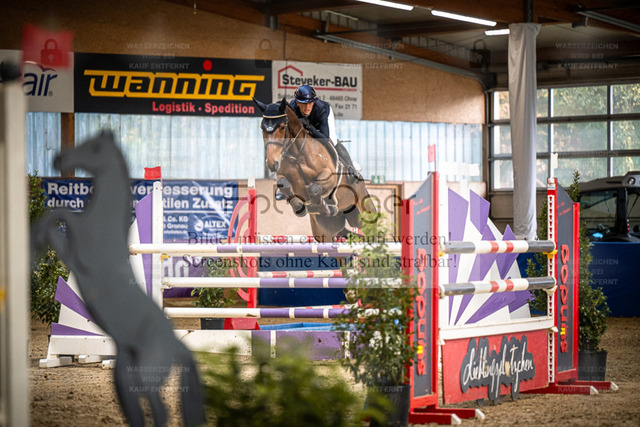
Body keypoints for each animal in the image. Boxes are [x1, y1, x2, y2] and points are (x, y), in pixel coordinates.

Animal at [31, 131, 205, 427]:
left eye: (93, 148)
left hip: (148, 368)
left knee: (159, 406)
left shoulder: (79, 253)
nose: (59, 160)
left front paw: (38, 239)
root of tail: (176, 343)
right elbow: (61, 214)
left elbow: (62, 214)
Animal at [254, 98, 377, 242]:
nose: (272, 163)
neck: (298, 153)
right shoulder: (284, 176)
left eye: (282, 127)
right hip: (326, 231)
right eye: (262, 128)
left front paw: (321, 206)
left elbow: (314, 188)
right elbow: (283, 183)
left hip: (365, 215)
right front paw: (300, 207)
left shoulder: (329, 177)